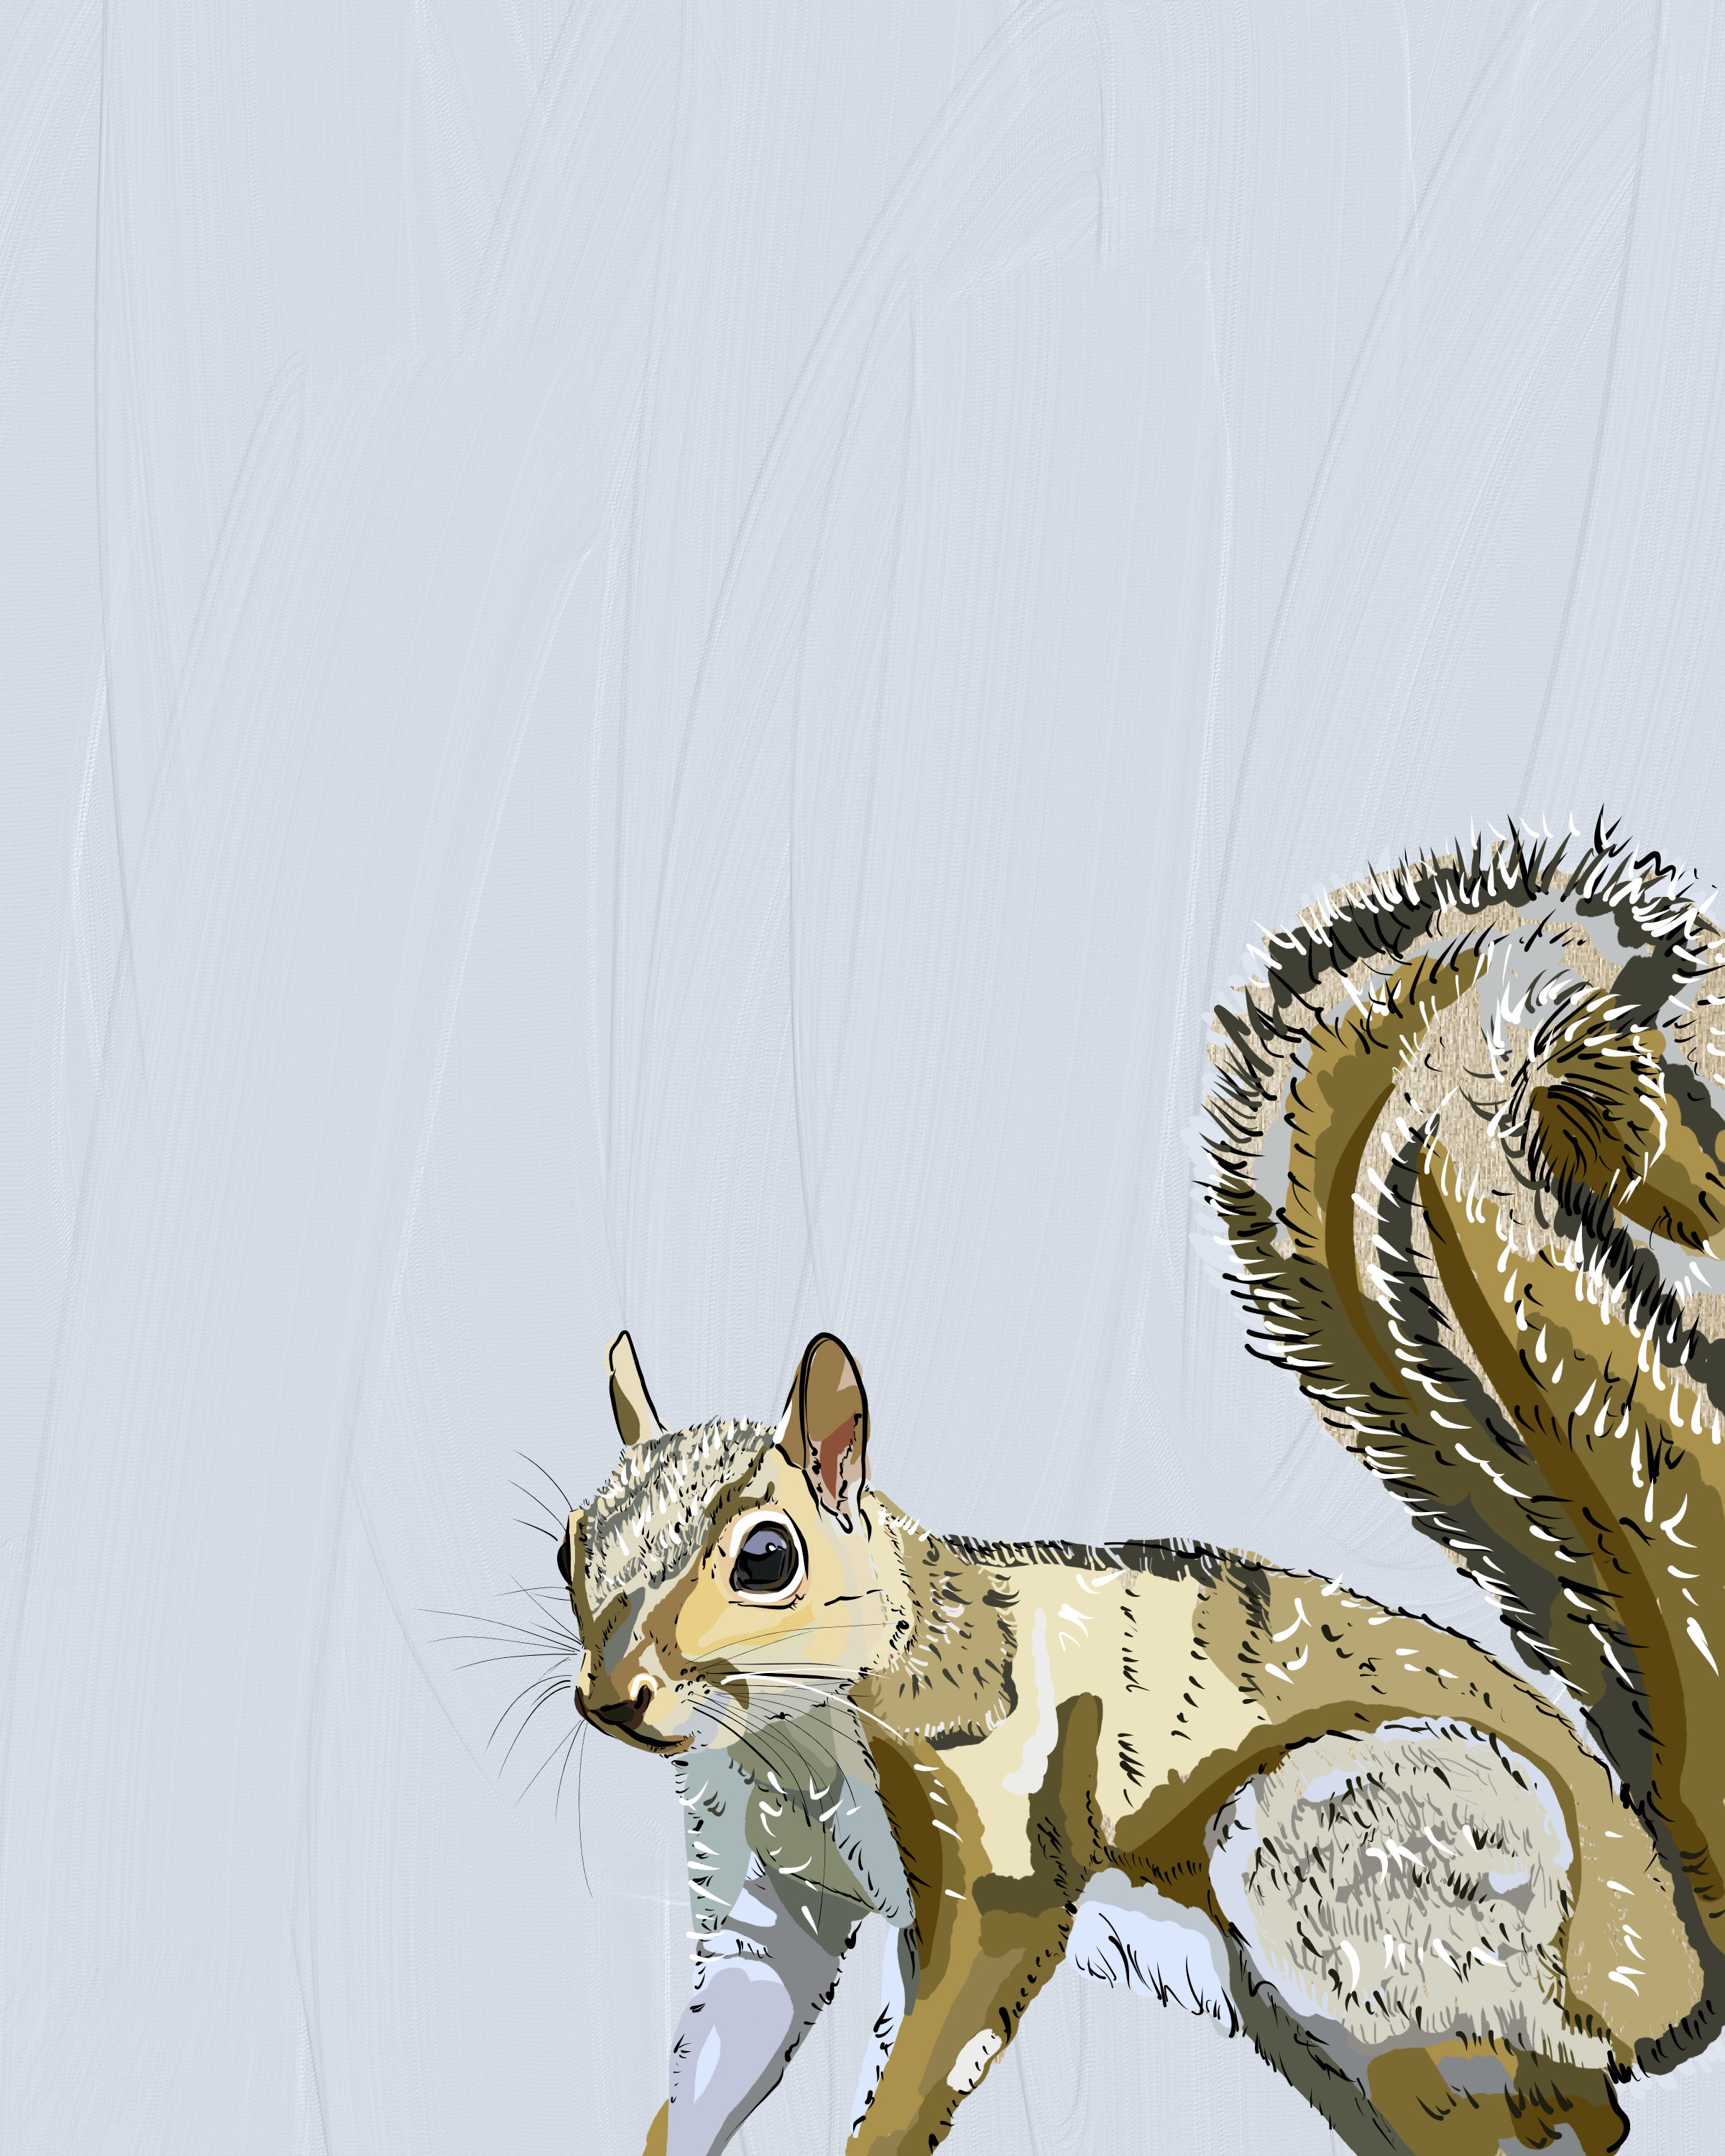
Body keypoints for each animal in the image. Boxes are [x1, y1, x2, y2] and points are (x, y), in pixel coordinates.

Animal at [561, 819, 1725, 2154]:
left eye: (767, 1557)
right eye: (569, 1545)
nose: (611, 1698)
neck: (791, 1737)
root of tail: (1650, 1947)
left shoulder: (998, 1856)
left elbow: (940, 2035)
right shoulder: (768, 1895)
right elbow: (725, 2043)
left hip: (1343, 1857)